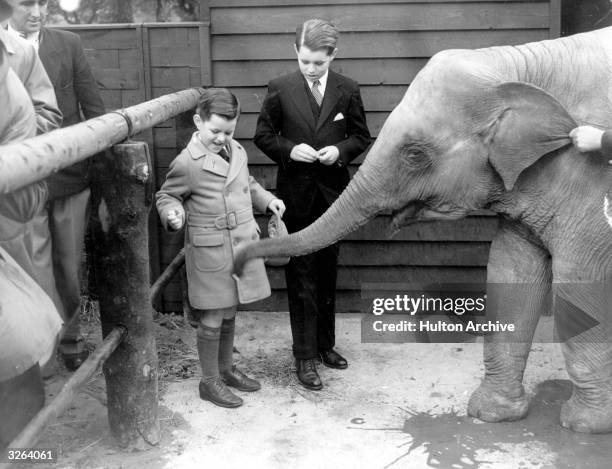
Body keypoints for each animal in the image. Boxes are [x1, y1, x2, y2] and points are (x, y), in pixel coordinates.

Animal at [234, 28, 612, 432]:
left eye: (415, 155)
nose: (274, 218)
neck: (516, 64)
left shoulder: (588, 181)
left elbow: (578, 281)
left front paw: (585, 425)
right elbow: (509, 270)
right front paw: (489, 414)